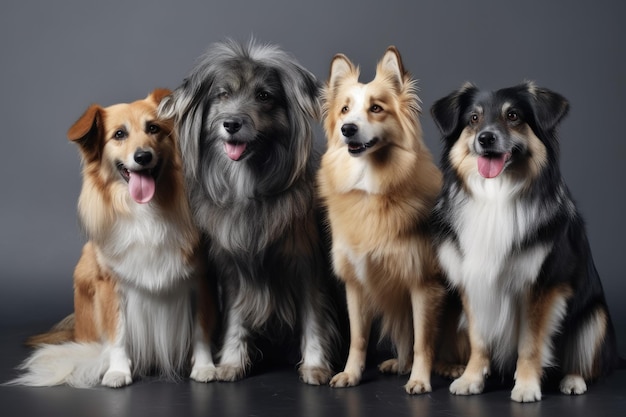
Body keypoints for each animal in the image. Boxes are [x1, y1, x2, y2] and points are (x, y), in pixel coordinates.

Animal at [7, 90, 219, 386]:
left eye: (153, 128)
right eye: (119, 134)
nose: (143, 156)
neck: (146, 211)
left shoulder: (202, 278)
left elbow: (201, 329)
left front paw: (205, 366)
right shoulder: (110, 283)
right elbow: (118, 332)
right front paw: (118, 371)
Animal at [158, 39, 338, 384]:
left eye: (264, 96)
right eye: (223, 95)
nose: (231, 123)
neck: (248, 182)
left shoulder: (307, 264)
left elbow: (313, 317)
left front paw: (315, 365)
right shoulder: (232, 269)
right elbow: (236, 317)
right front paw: (230, 361)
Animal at [316, 47, 448, 392]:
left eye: (376, 108)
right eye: (345, 109)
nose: (348, 128)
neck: (370, 189)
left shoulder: (424, 282)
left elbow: (423, 341)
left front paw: (420, 380)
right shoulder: (355, 283)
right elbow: (358, 338)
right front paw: (351, 373)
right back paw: (399, 364)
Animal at [428, 80, 620, 400]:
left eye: (514, 116)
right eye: (474, 119)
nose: (486, 138)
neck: (496, 193)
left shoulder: (541, 286)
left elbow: (530, 343)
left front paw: (527, 386)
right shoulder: (474, 283)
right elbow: (479, 339)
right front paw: (471, 379)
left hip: (596, 318)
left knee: (588, 363)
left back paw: (573, 380)